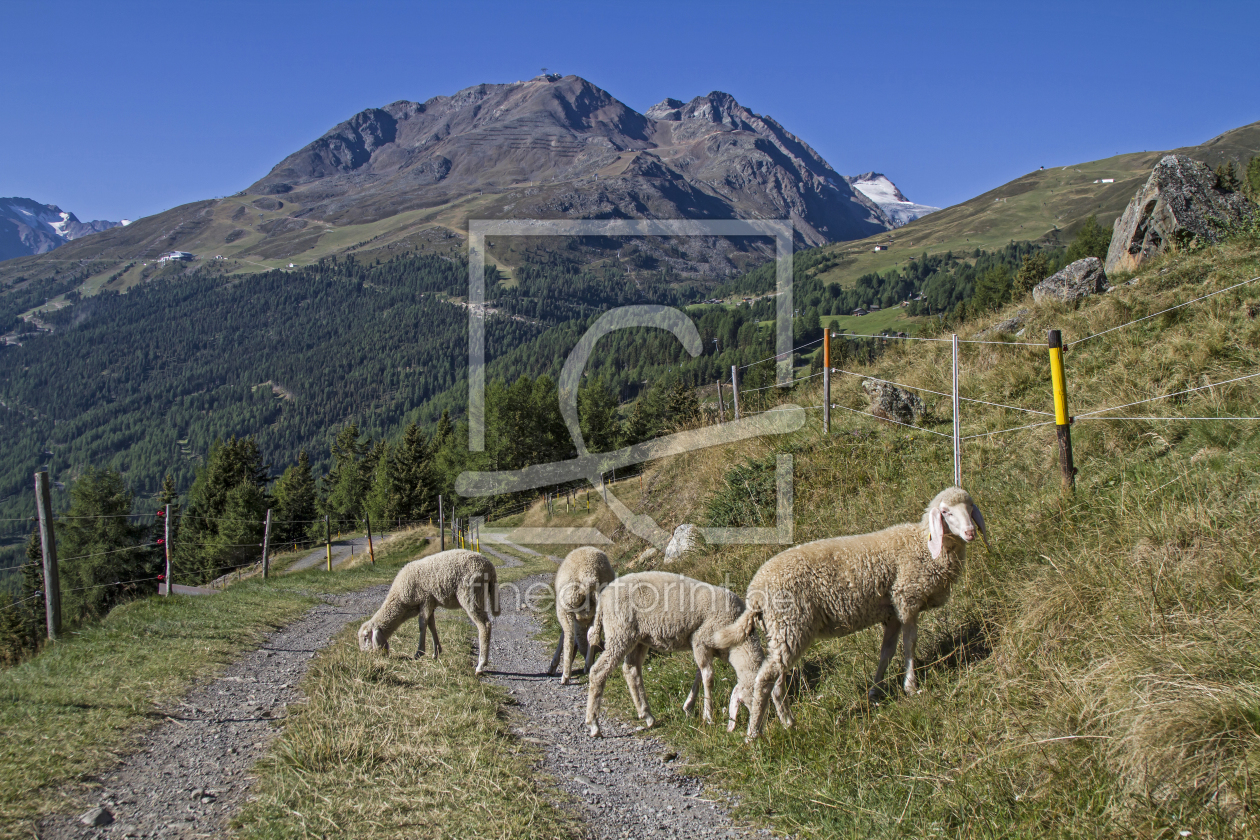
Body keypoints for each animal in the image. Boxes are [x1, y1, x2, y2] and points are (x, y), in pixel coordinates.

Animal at [357, 551, 498, 675]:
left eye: (366, 637)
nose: (363, 655)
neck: (401, 602)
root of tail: (490, 568)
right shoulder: (431, 604)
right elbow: (431, 625)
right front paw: (436, 652)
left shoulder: (425, 600)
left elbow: (422, 625)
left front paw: (419, 653)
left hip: (470, 594)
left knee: (484, 625)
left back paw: (481, 665)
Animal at [546, 549, 614, 685]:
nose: (592, 659)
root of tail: (589, 576)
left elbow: (563, 637)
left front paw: (554, 665)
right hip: (599, 610)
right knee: (593, 635)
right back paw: (587, 666)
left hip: (565, 606)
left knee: (569, 637)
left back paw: (565, 676)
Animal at [582, 569, 781, 740]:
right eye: (756, 698)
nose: (758, 734)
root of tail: (603, 596)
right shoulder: (700, 639)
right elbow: (708, 676)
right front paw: (708, 716)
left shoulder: (704, 648)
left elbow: (699, 674)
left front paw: (688, 707)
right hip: (620, 631)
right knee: (598, 672)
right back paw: (594, 725)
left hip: (638, 638)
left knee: (631, 670)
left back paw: (647, 715)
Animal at [715, 486, 987, 740]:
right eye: (946, 512)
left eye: (970, 507)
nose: (970, 532)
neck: (923, 545)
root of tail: (755, 594)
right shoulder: (907, 599)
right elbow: (910, 645)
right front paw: (911, 686)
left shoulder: (892, 612)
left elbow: (886, 652)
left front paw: (875, 690)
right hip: (790, 624)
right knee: (765, 679)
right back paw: (753, 734)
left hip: (782, 632)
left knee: (776, 681)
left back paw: (789, 723)